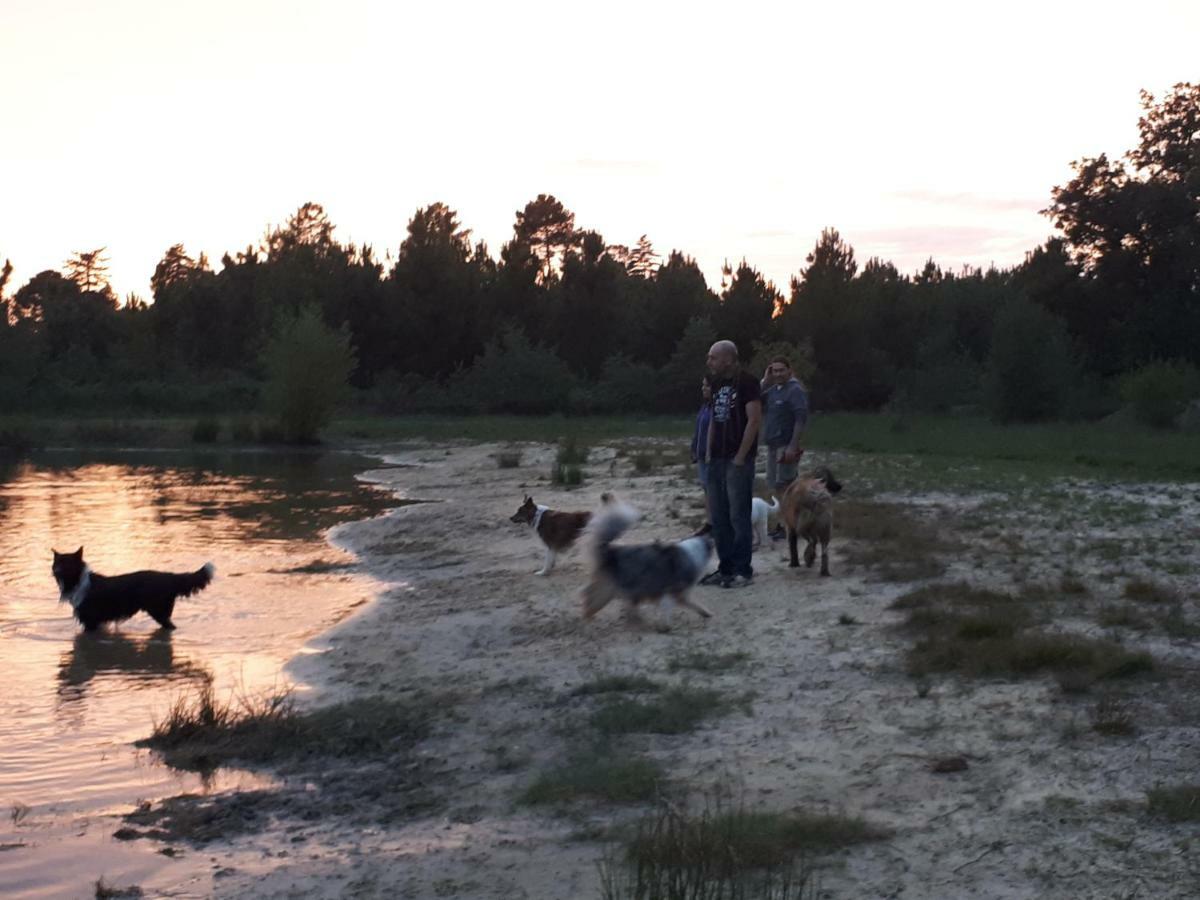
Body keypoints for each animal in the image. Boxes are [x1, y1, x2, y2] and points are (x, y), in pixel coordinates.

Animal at [52, 547, 214, 628]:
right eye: (56, 563)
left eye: (66, 564)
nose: (55, 571)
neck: (78, 581)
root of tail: (170, 576)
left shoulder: (91, 621)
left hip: (159, 611)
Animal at [580, 504, 710, 628]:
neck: (695, 551)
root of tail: (609, 550)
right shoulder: (675, 592)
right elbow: (675, 607)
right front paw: (666, 626)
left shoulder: (674, 593)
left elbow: (691, 605)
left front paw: (706, 613)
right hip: (607, 590)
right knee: (589, 601)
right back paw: (589, 620)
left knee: (588, 595)